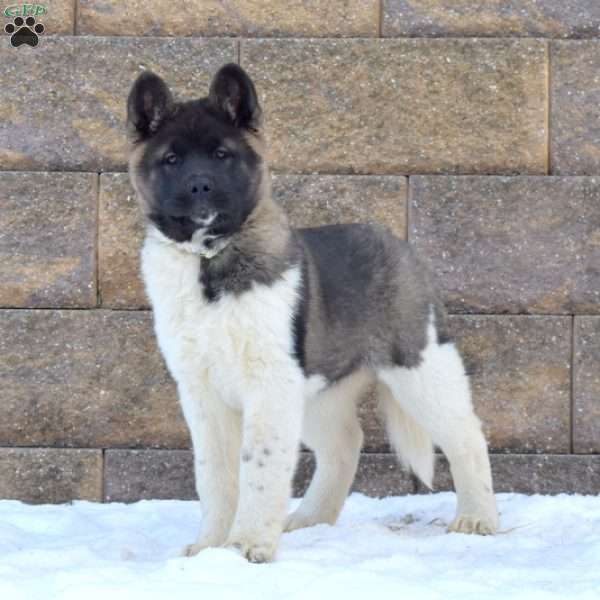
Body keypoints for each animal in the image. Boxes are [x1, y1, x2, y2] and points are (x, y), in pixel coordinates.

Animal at [125, 64, 496, 564]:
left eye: (222, 154)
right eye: (171, 160)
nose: (200, 185)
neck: (211, 260)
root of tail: (398, 244)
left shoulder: (269, 383)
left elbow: (259, 465)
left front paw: (248, 546)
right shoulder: (202, 391)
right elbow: (215, 474)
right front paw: (210, 547)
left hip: (420, 368)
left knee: (467, 436)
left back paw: (477, 519)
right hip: (317, 389)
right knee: (345, 445)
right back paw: (310, 520)